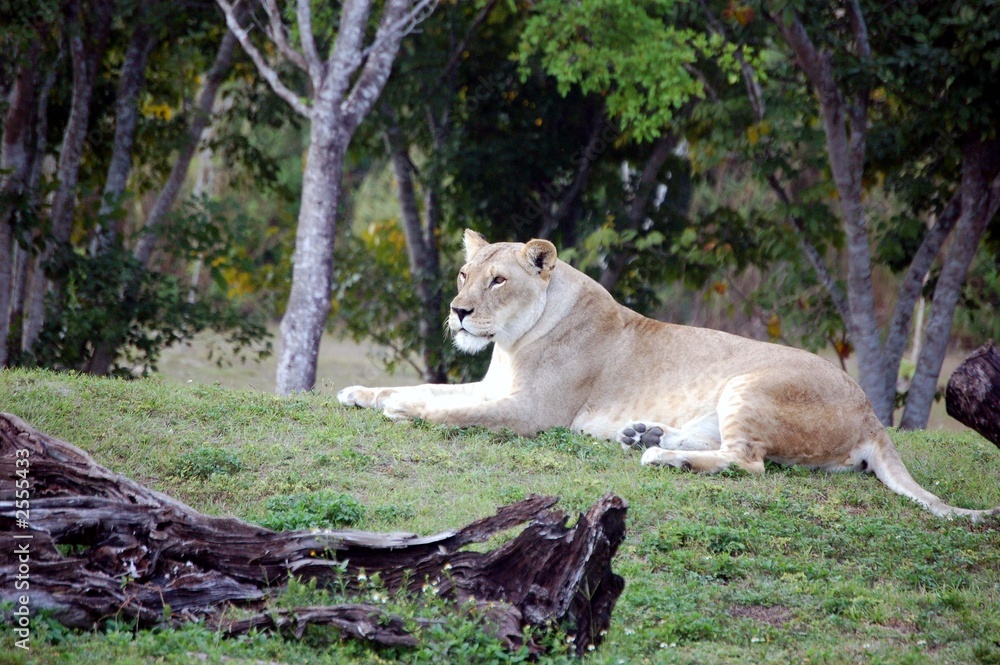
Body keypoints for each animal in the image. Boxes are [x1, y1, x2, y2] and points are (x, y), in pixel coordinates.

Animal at [338, 229, 999, 521]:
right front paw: (360, 393)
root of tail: (871, 415)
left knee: (750, 463)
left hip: (748, 383)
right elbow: (429, 387)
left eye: (498, 280)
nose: (458, 311)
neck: (511, 342)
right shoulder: (492, 387)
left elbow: (447, 408)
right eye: (463, 274)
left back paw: (660, 455)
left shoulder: (529, 411)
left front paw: (401, 410)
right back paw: (647, 435)